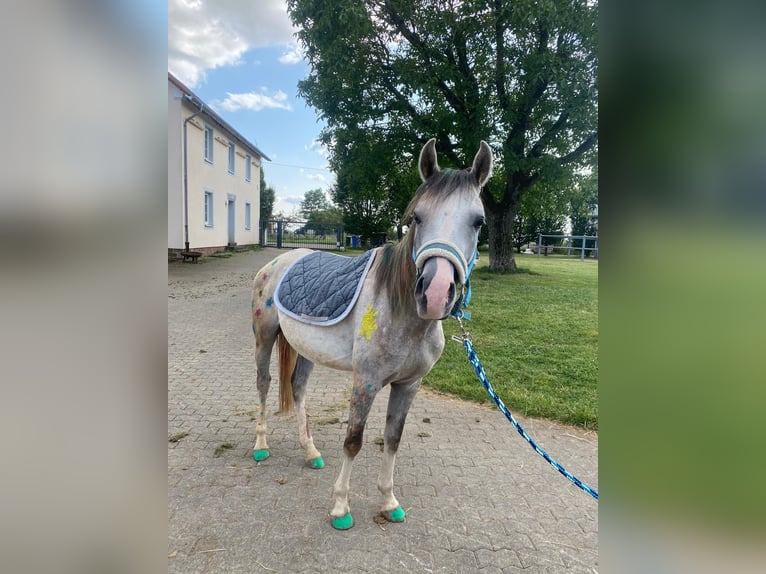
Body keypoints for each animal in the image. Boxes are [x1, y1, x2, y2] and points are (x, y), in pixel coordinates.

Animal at [249, 138, 496, 532]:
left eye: (478, 222)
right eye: (416, 217)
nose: (434, 294)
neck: (403, 313)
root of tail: (277, 262)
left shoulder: (408, 385)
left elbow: (392, 440)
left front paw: (389, 502)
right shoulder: (365, 381)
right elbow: (354, 440)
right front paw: (340, 508)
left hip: (306, 350)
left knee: (297, 388)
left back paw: (310, 451)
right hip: (264, 337)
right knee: (264, 383)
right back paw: (260, 446)